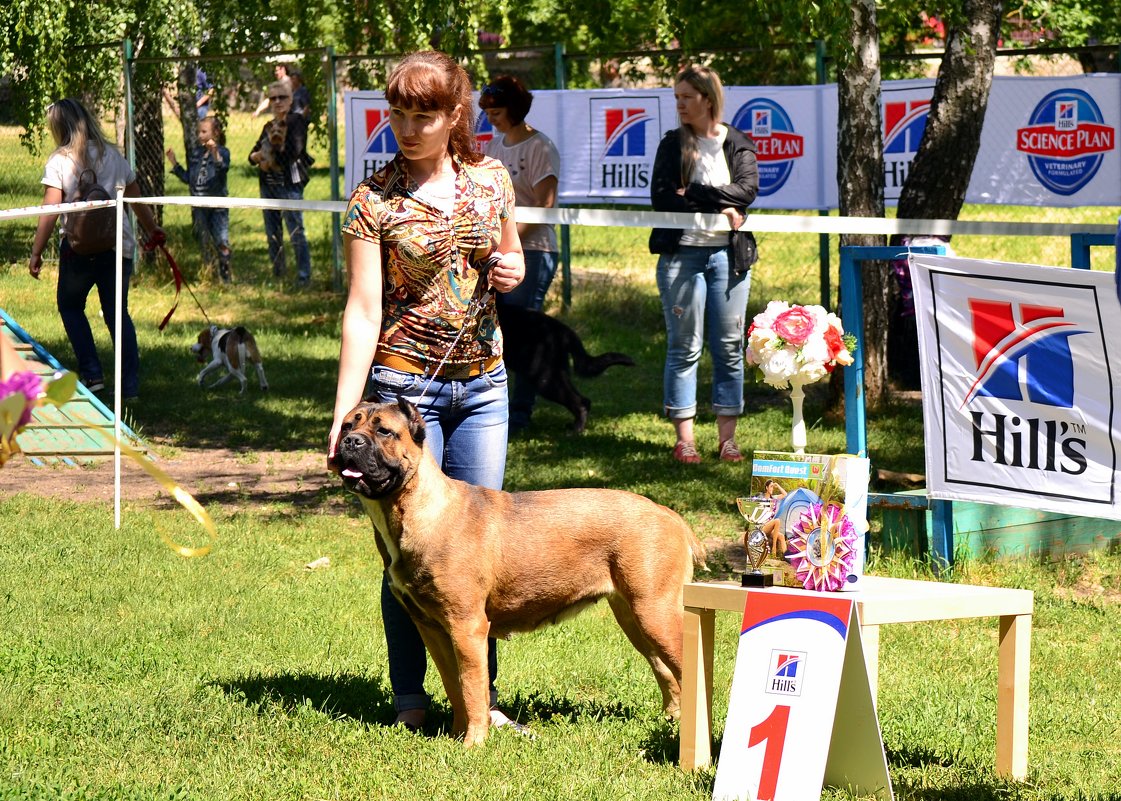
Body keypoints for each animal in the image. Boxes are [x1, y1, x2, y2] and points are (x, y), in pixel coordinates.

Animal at [327, 398, 703, 748]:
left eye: (384, 431)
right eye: (347, 426)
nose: (350, 442)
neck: (419, 508)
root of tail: (671, 515)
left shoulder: (467, 626)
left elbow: (472, 688)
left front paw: (473, 744)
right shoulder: (431, 627)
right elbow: (454, 686)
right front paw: (456, 735)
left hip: (656, 612)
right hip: (635, 617)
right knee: (666, 671)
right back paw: (672, 720)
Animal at [497, 304, 632, 432]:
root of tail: (562, 329)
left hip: (543, 377)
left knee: (581, 402)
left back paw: (575, 431)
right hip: (554, 374)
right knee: (583, 400)